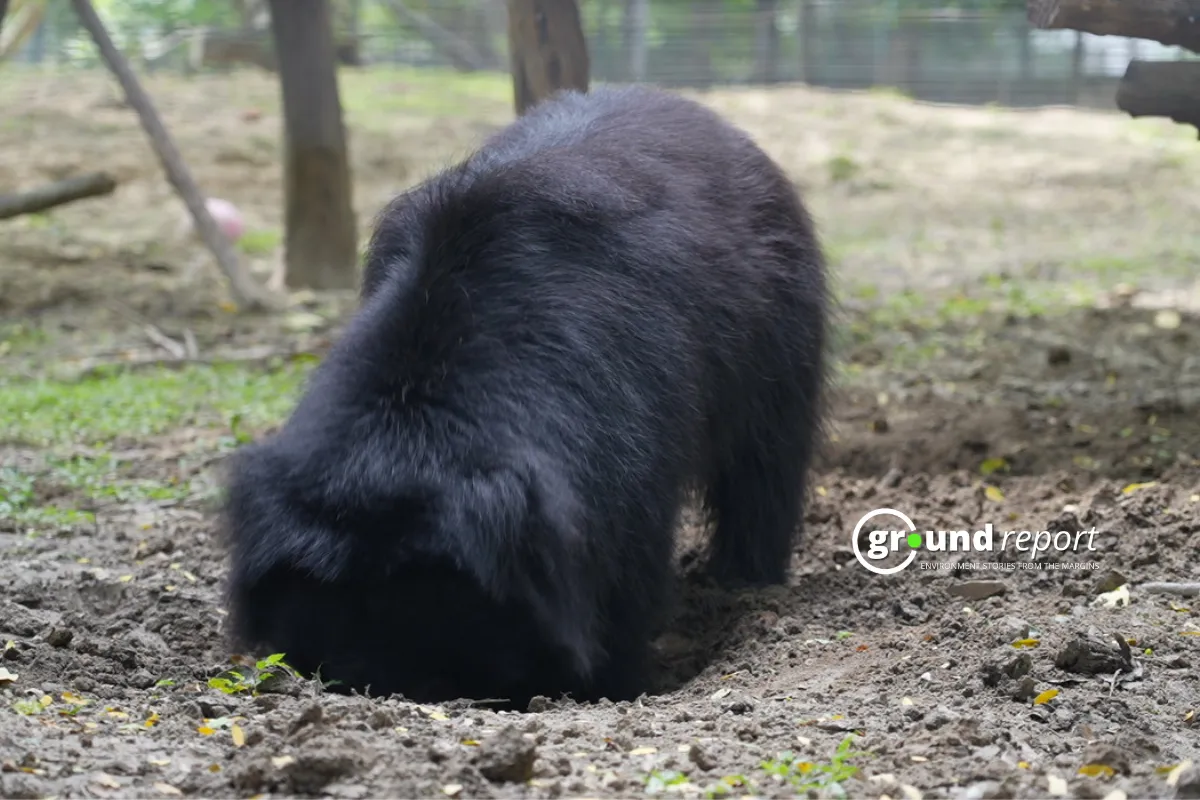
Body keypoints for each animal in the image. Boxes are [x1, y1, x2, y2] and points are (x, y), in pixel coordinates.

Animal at [220, 84, 830, 705]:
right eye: (329, 638)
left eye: (448, 645)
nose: (384, 690)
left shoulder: (624, 437)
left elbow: (620, 575)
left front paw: (608, 679)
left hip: (777, 333)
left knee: (764, 464)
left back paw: (745, 577)